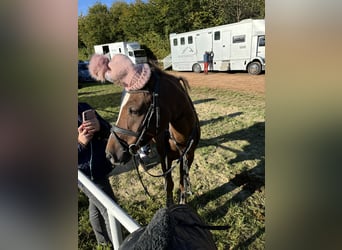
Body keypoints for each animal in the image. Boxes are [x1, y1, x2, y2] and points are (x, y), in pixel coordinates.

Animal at [105, 66, 199, 205]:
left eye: (134, 110)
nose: (109, 155)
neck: (181, 137)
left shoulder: (188, 156)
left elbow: (183, 183)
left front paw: (183, 202)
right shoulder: (165, 156)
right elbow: (169, 183)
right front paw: (169, 204)